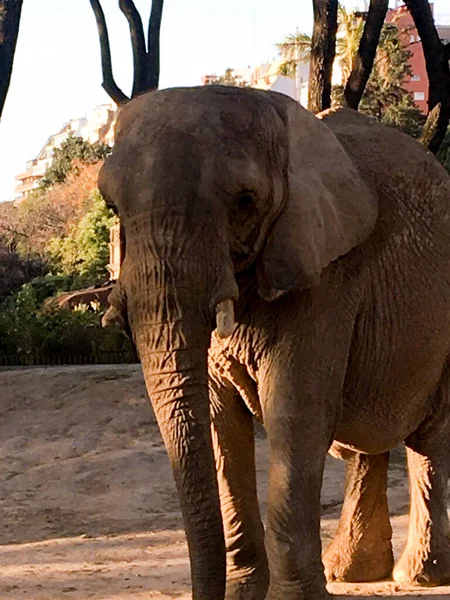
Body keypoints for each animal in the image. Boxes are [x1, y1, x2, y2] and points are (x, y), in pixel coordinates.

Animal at [97, 85, 450, 600]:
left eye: (245, 202)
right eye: (112, 207)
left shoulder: (327, 273)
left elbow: (293, 410)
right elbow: (220, 420)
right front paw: (244, 592)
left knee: (430, 437)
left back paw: (421, 576)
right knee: (369, 442)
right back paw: (352, 572)